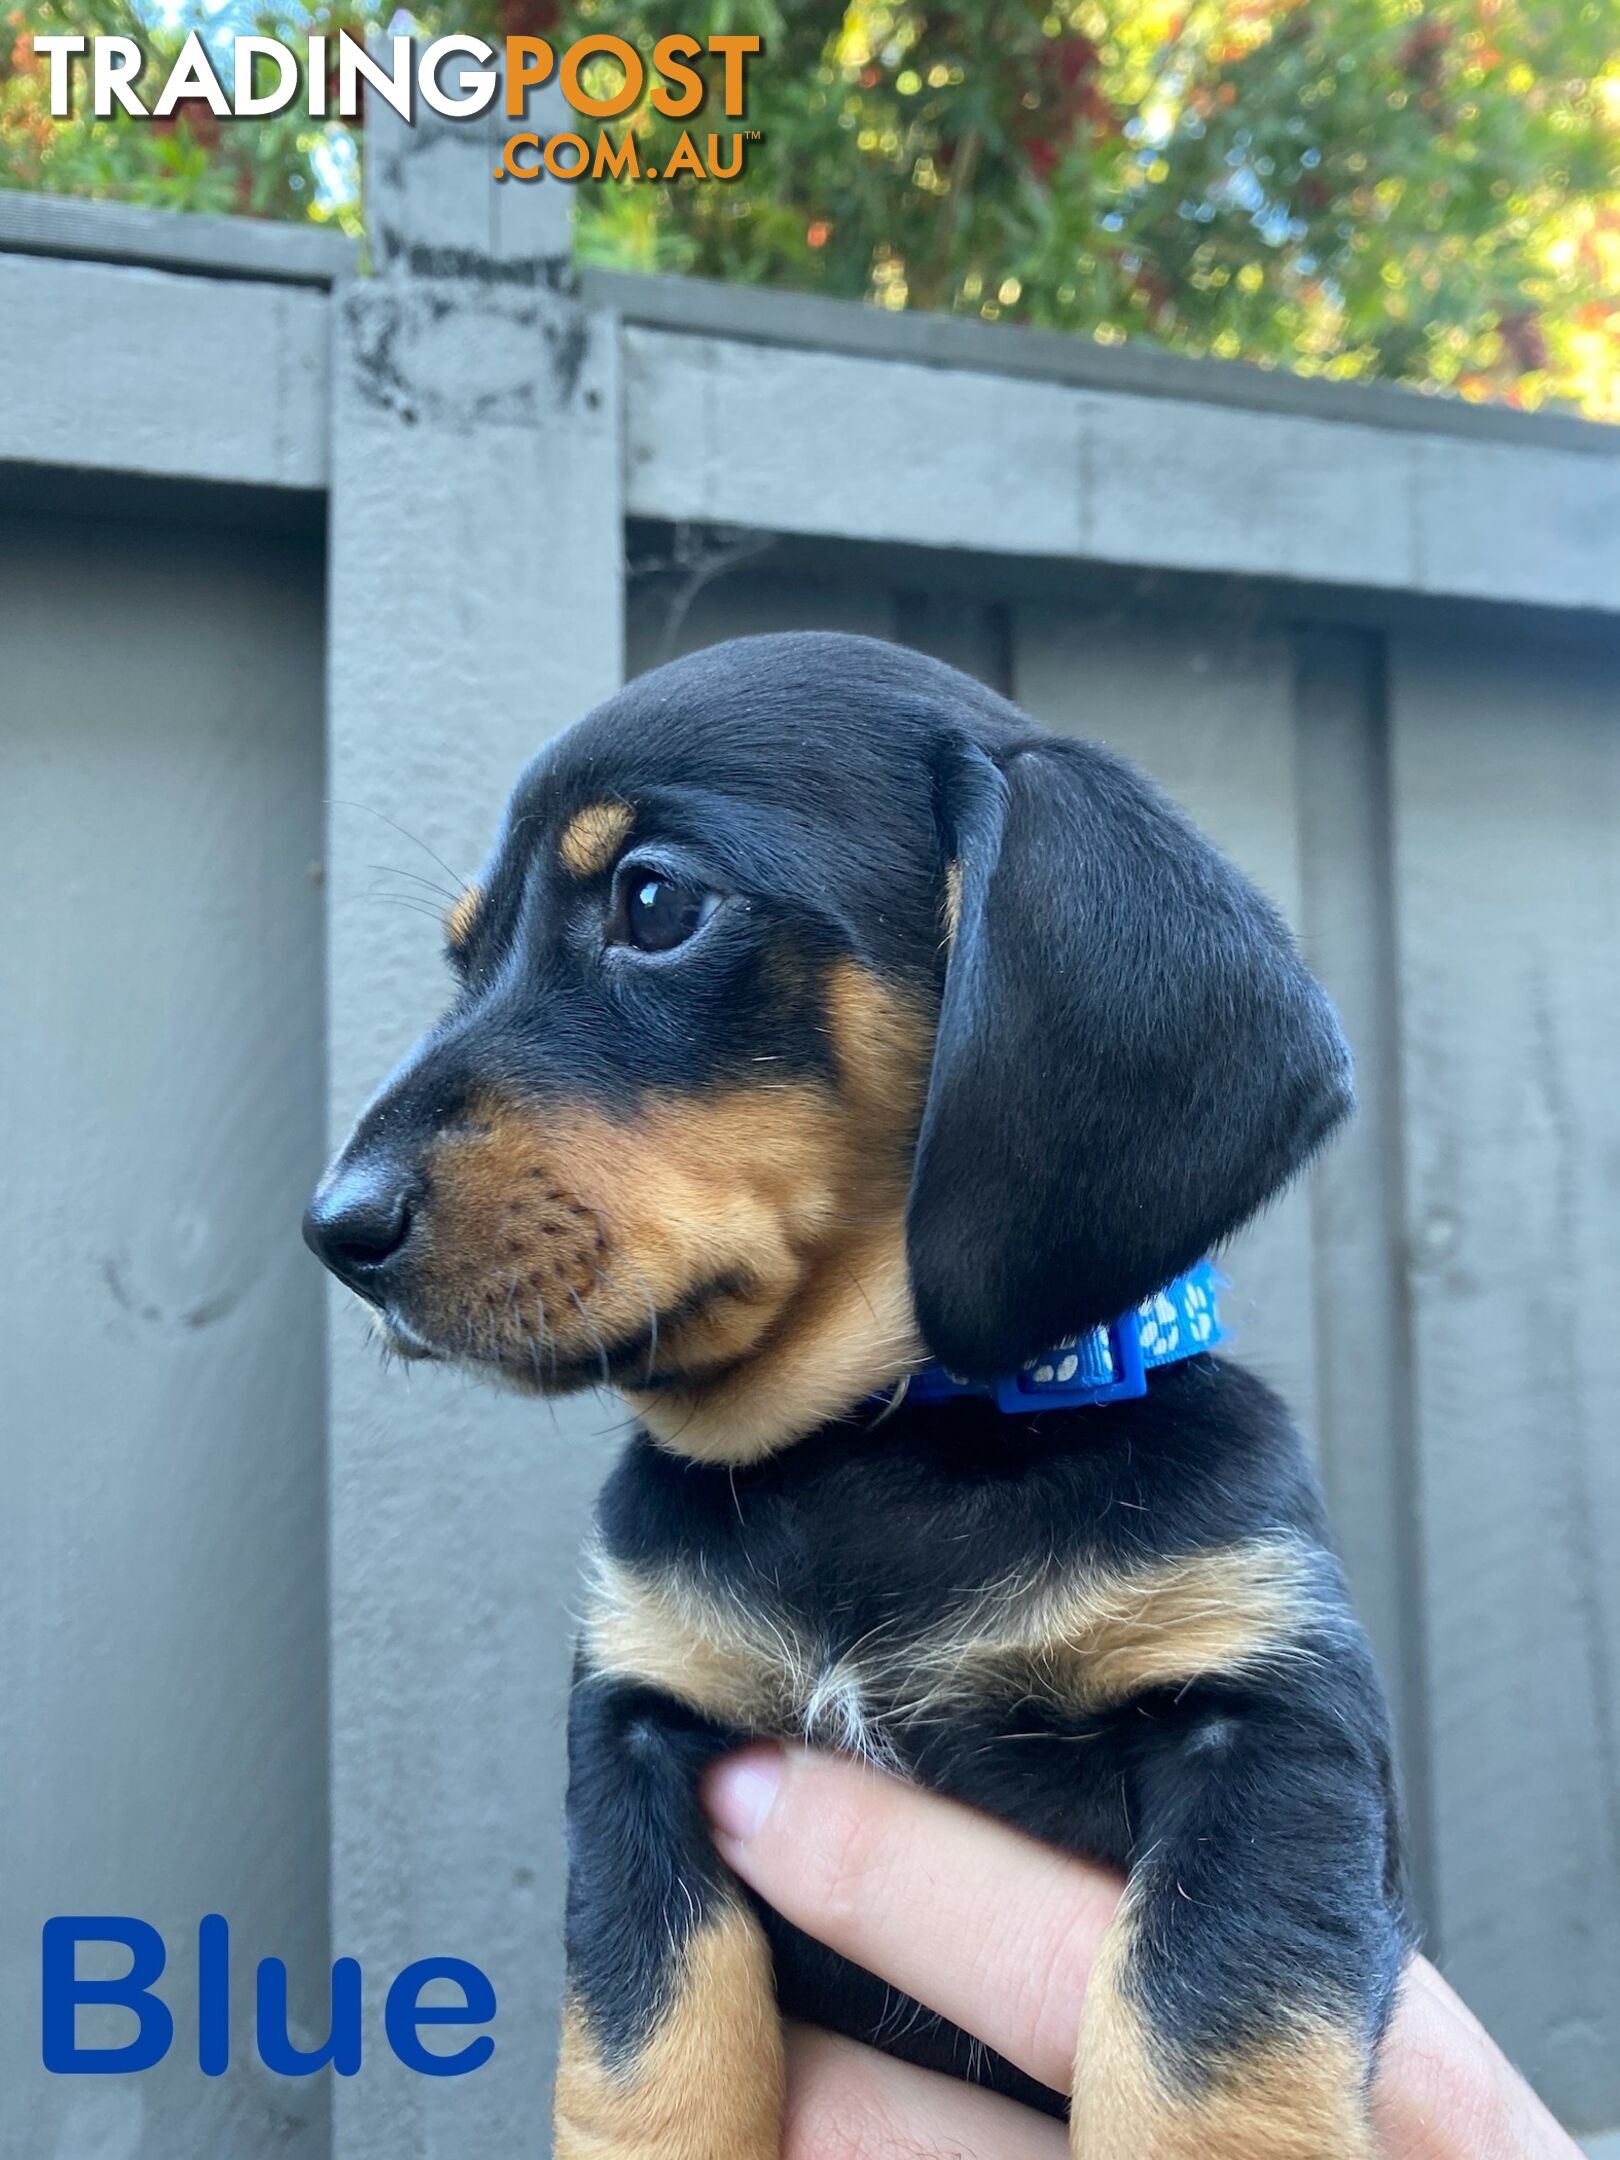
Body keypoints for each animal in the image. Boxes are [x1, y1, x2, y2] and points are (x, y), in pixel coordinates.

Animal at [306, 630, 1416, 2151]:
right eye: (462, 955)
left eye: (654, 900)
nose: (334, 1228)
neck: (874, 1450)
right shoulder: (640, 1733)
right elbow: (650, 2063)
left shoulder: (1267, 1725)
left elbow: (1202, 2052)